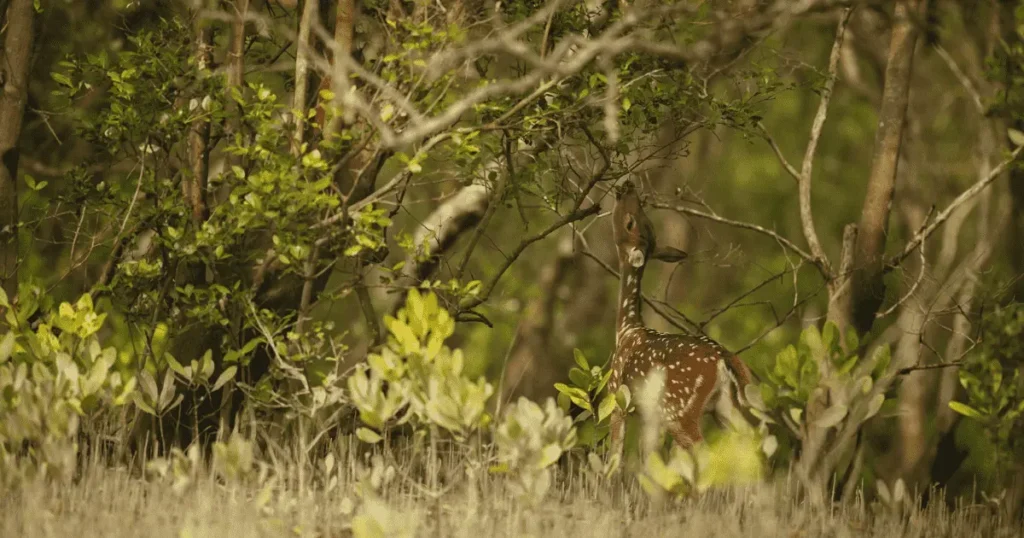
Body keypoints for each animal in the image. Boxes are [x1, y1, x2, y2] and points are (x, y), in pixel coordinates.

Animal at [606, 180, 753, 457]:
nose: (628, 186)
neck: (627, 330)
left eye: (630, 222)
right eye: (644, 220)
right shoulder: (647, 416)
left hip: (678, 410)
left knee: (704, 451)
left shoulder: (617, 396)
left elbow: (615, 456)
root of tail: (725, 359)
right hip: (724, 407)